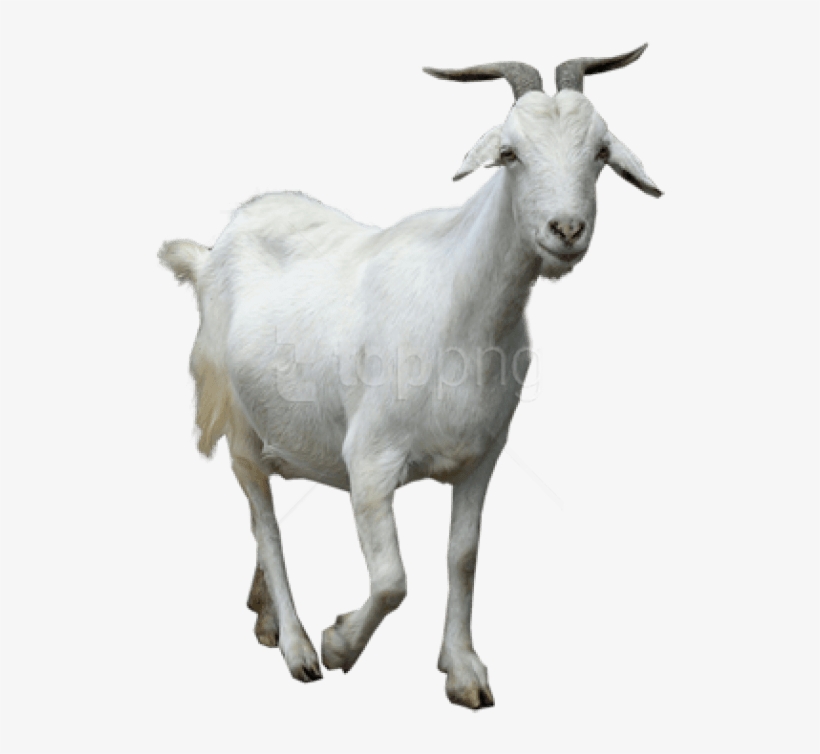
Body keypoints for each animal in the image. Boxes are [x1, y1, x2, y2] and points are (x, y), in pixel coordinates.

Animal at [159, 46, 661, 709]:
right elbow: (393, 579)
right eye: (510, 152)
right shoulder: (369, 461)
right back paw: (296, 647)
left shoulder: (481, 457)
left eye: (601, 151)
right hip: (240, 423)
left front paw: (464, 670)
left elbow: (463, 556)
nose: (567, 230)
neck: (458, 307)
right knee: (265, 521)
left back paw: (264, 616)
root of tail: (213, 250)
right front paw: (339, 642)